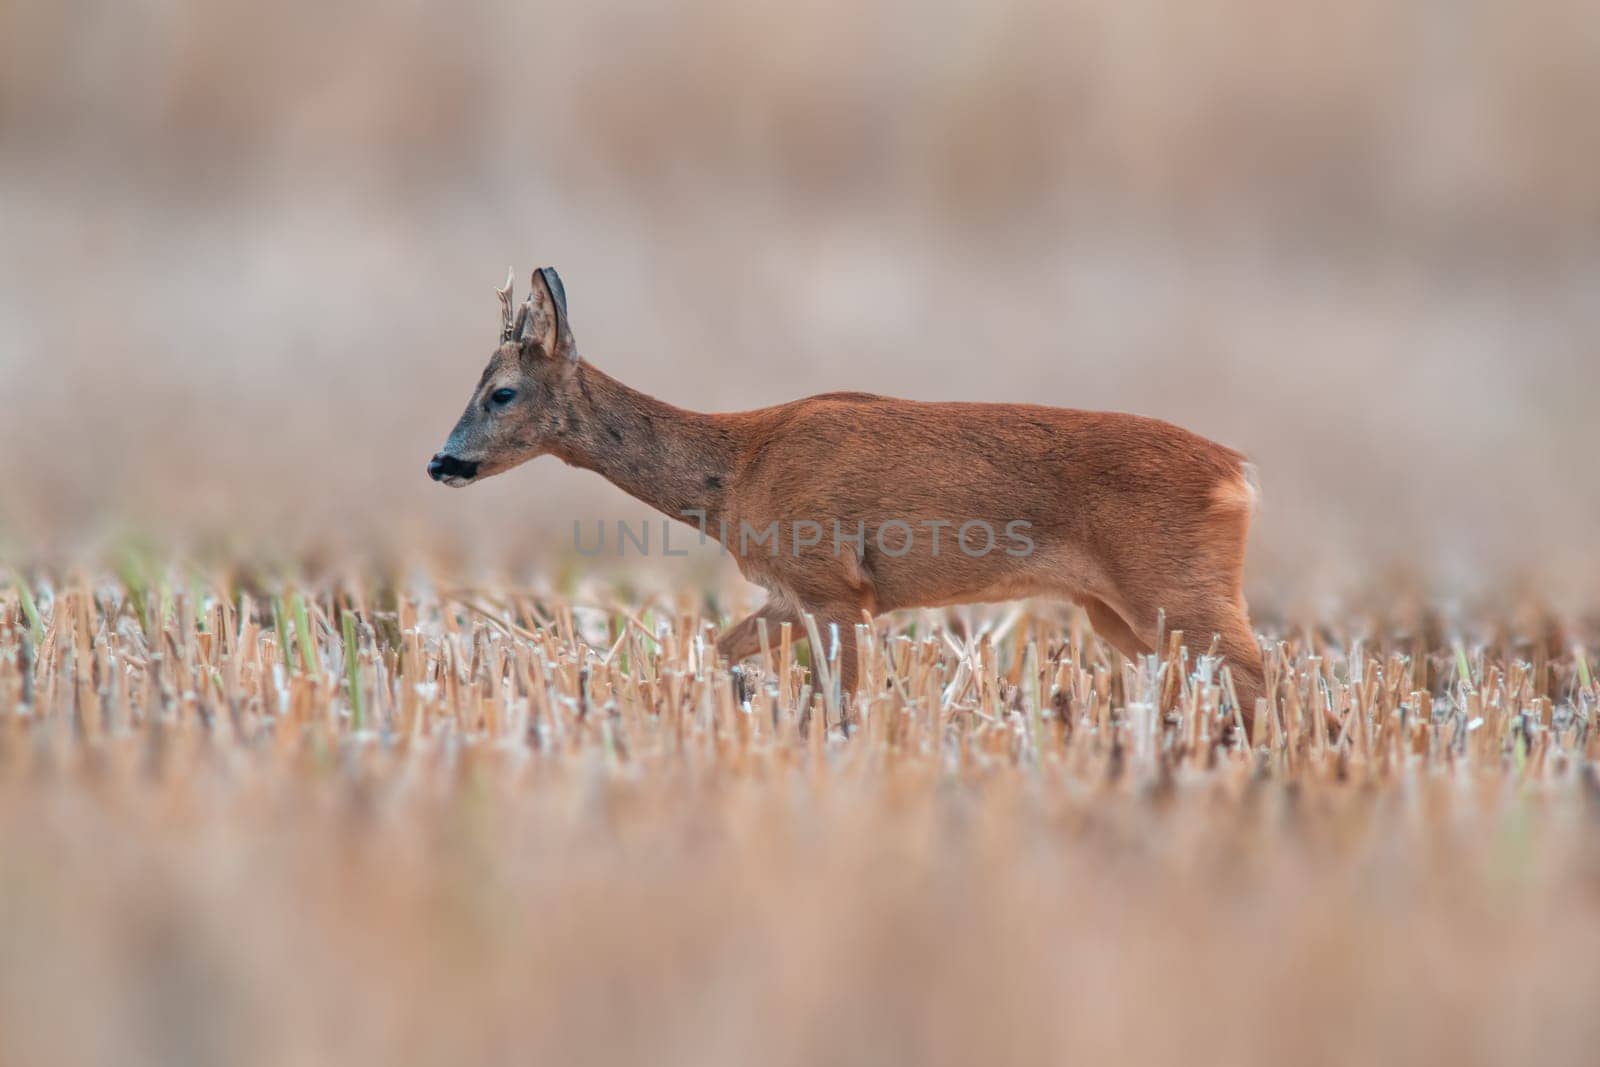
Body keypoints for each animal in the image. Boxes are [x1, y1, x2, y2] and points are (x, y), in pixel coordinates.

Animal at [432, 268, 1267, 735]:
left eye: (501, 392)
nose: (441, 461)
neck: (737, 471)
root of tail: (1238, 471)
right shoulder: (790, 593)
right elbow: (722, 648)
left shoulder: (837, 587)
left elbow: (842, 702)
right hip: (1120, 611)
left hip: (1176, 583)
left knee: (1260, 670)